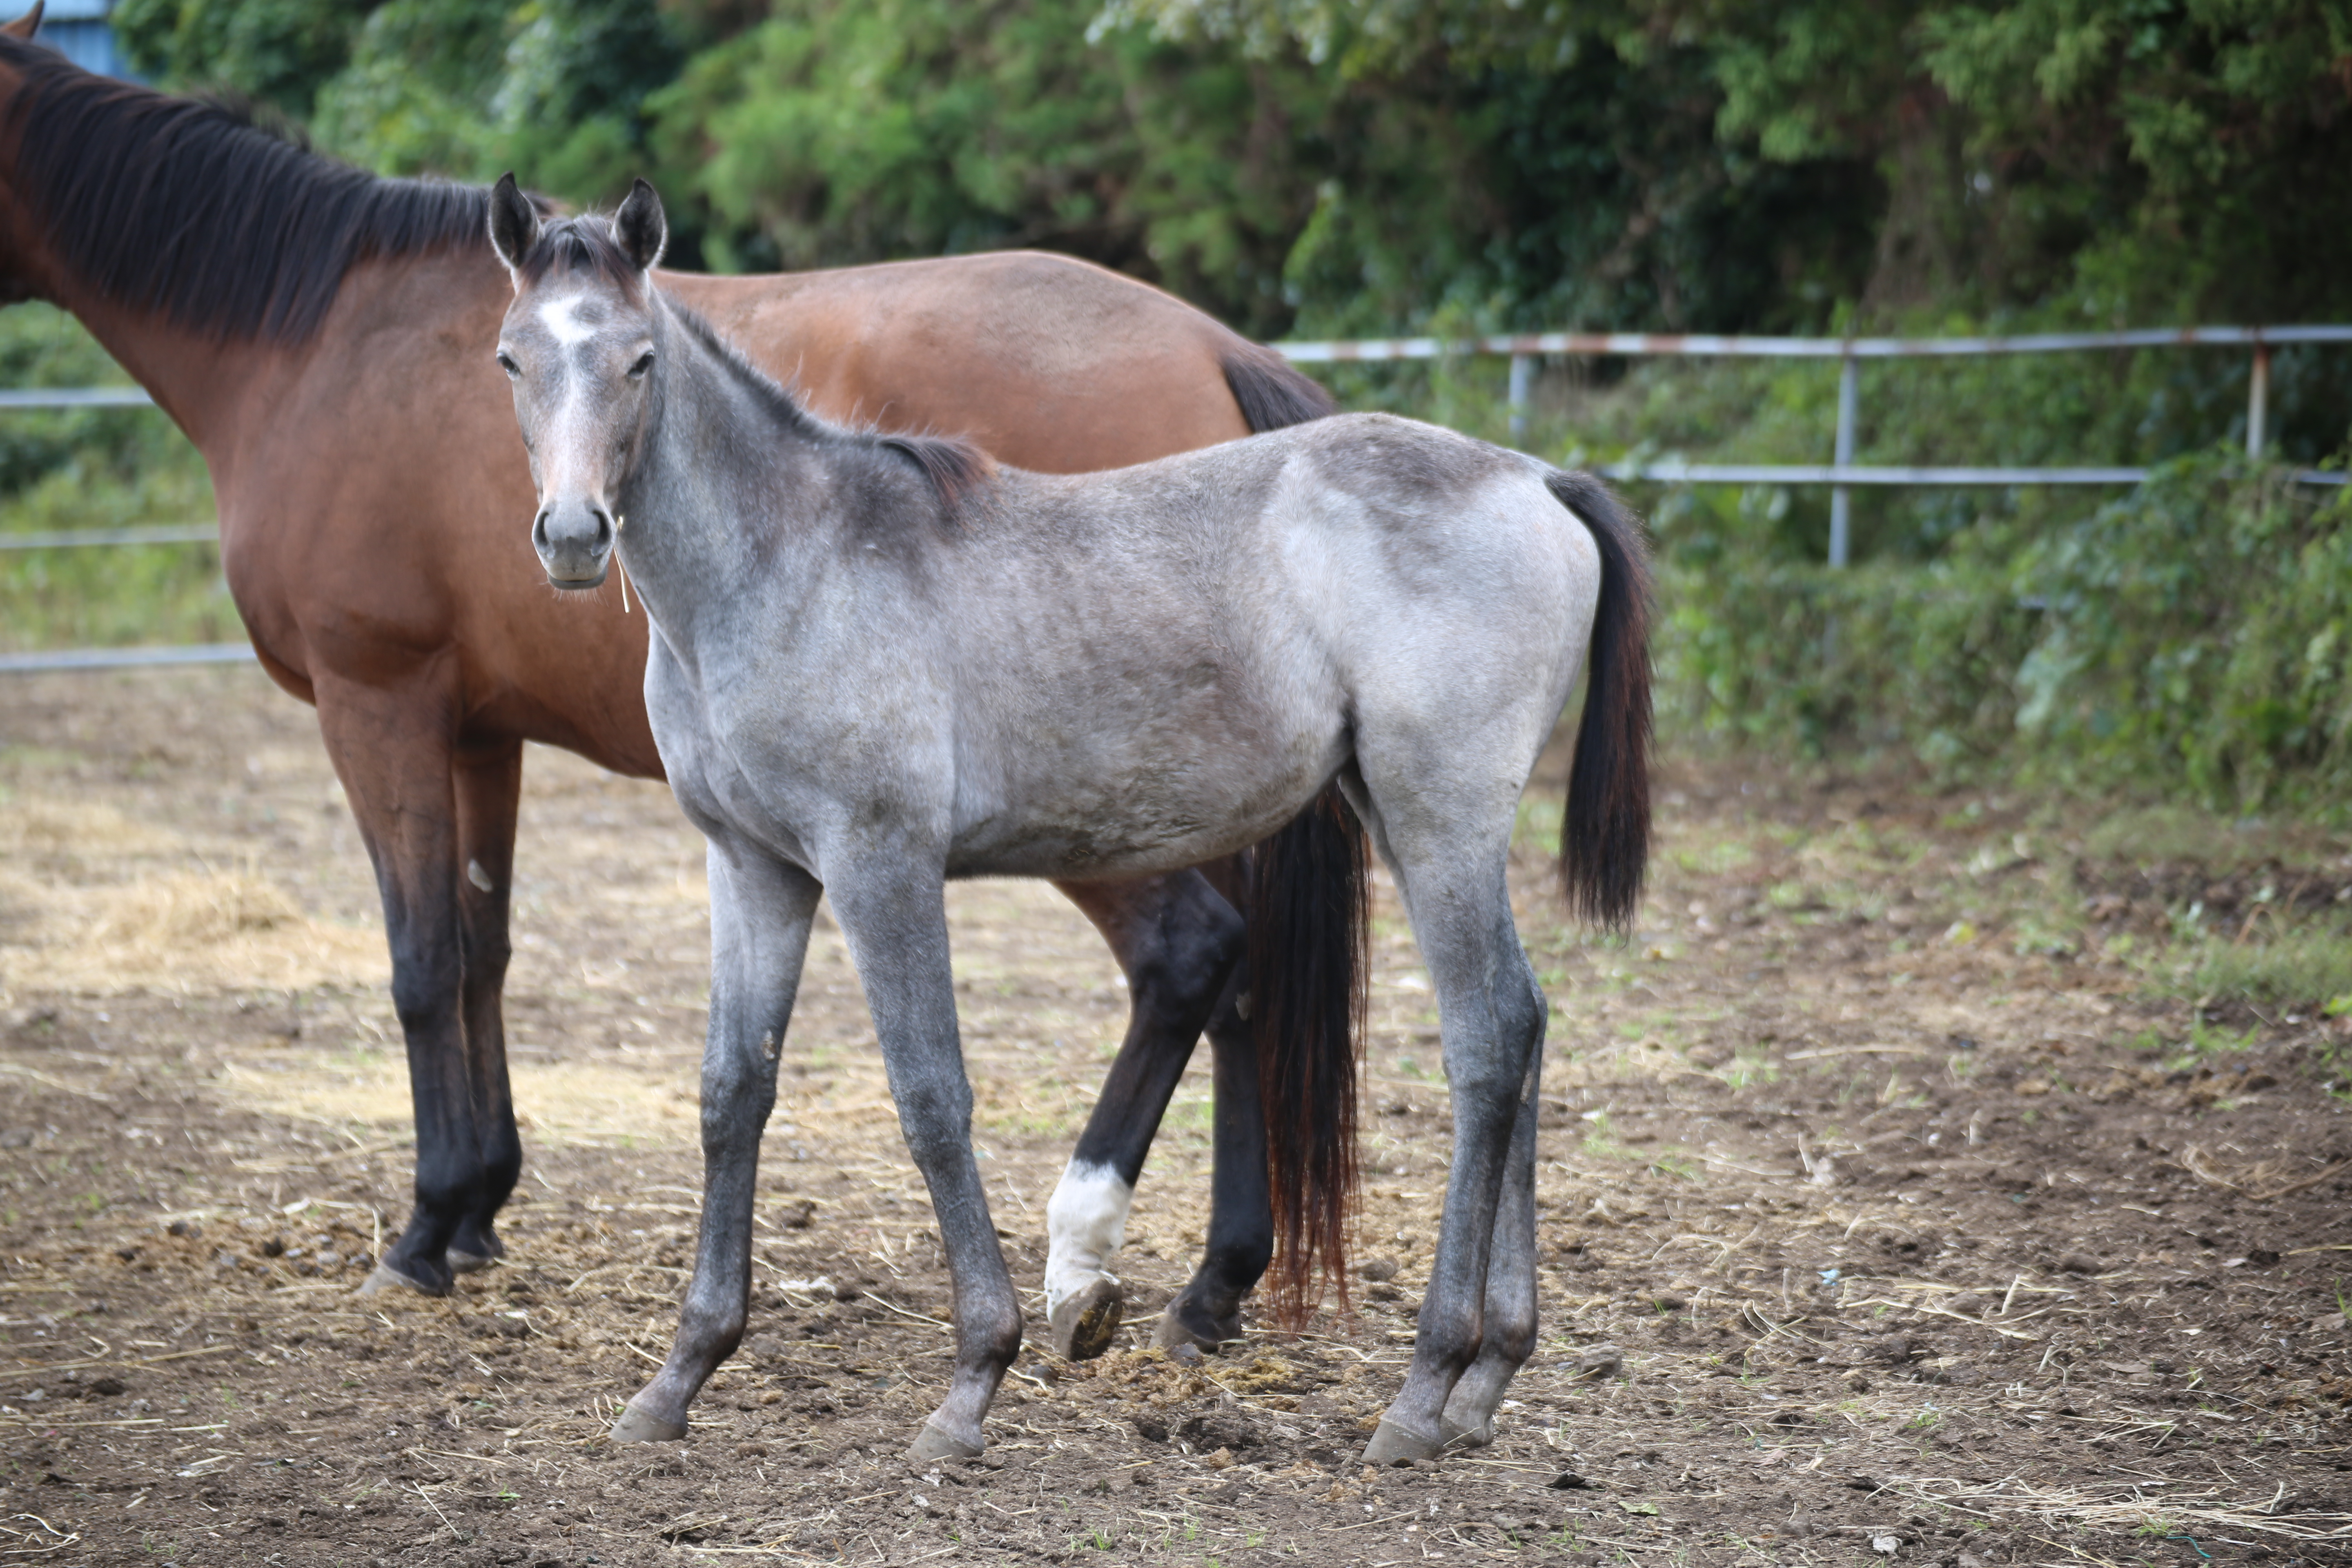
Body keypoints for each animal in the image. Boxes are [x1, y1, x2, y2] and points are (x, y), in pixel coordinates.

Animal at [0, 9, 1364, 1354]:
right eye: (507, 361)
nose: (570, 535)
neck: (320, 337)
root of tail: (1213, 346)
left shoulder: (377, 702)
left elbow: (421, 959)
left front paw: (424, 1228)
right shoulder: (478, 732)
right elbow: (485, 947)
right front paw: (479, 1206)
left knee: (1193, 957)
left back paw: (1094, 1257)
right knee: (1246, 983)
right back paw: (1215, 1282)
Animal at [482, 177, 1656, 1467]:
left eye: (639, 360)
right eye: (512, 358)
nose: (572, 536)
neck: (789, 564)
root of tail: (1536, 479)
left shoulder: (880, 861)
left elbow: (930, 1095)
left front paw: (971, 1383)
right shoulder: (752, 869)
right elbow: (731, 1092)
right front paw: (679, 1376)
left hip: (1437, 817)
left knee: (1488, 1037)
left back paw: (1424, 1386)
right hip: (1405, 818)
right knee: (1527, 1024)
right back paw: (1489, 1375)